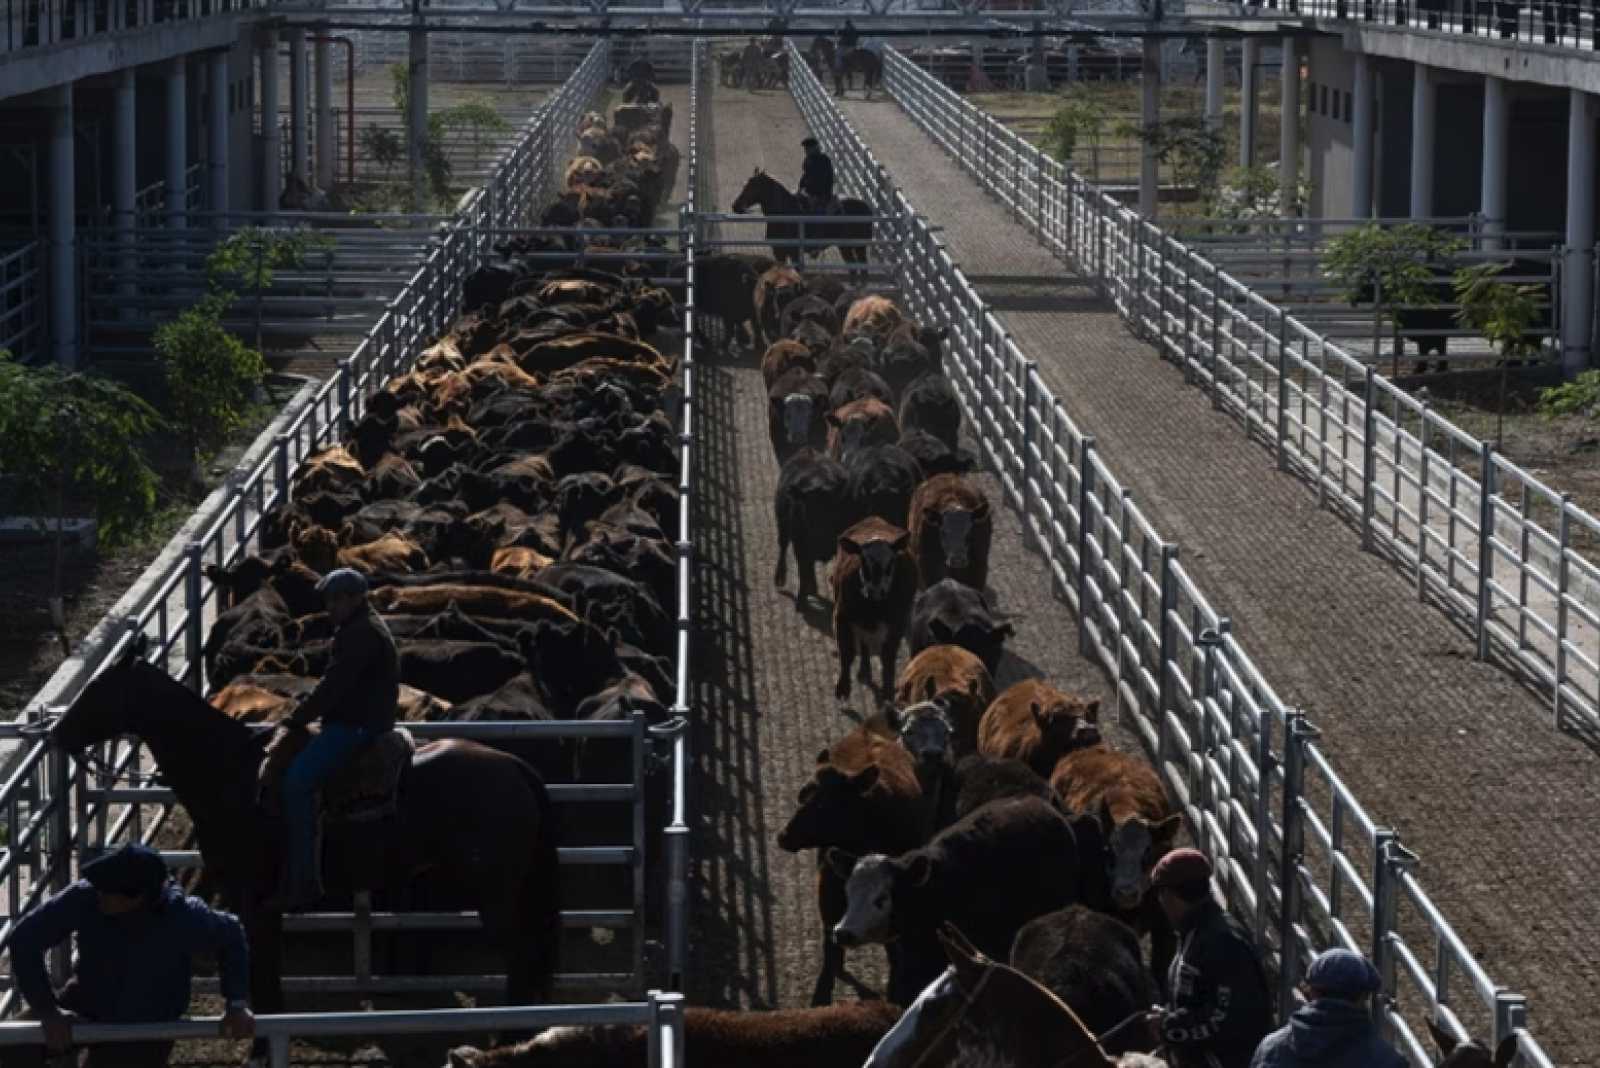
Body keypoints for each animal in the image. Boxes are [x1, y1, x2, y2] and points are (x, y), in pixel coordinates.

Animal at [50, 639, 566, 1055]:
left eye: (99, 689)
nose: (57, 735)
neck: (234, 776)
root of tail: (516, 768)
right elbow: (269, 980)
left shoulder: (252, 901)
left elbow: (262, 979)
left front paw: (260, 1048)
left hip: (495, 895)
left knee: (521, 958)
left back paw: (514, 1037)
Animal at [732, 167, 876, 274]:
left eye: (753, 186)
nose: (735, 206)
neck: (786, 215)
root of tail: (866, 206)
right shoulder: (779, 252)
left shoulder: (794, 253)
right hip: (849, 247)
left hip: (855, 246)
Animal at [832, 518, 921, 700]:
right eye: (863, 562)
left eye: (891, 563)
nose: (876, 590)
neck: (873, 607)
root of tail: (875, 519)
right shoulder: (842, 616)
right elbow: (847, 652)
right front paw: (843, 685)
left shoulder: (898, 623)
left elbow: (887, 657)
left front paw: (888, 690)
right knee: (863, 642)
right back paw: (864, 671)